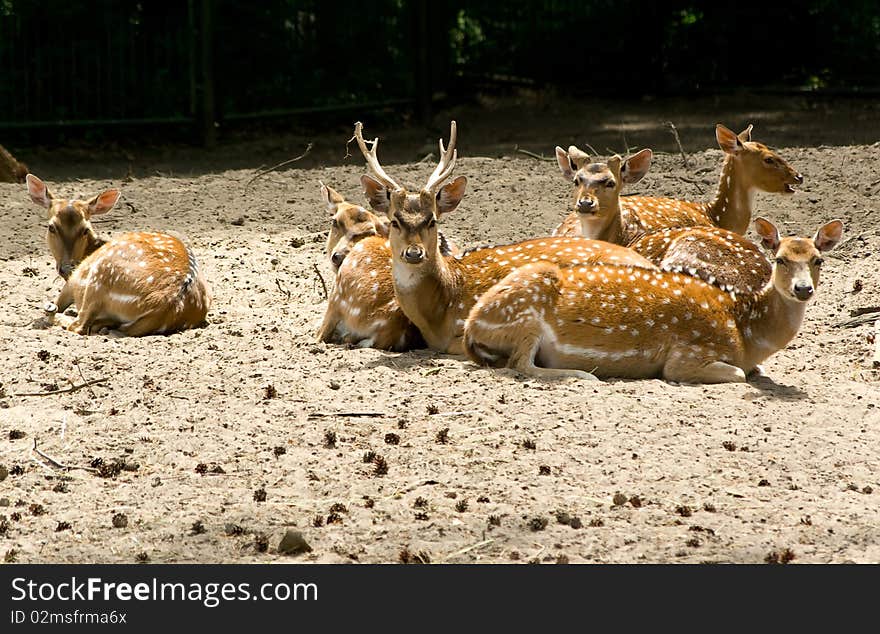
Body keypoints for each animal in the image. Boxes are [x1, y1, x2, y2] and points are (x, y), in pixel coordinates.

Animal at [26, 170, 211, 334]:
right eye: (51, 227)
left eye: (85, 229)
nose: (66, 268)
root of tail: (166, 307)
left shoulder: (72, 283)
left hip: (100, 277)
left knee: (78, 324)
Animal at [464, 217, 844, 382]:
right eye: (779, 259)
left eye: (818, 260)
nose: (803, 289)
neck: (746, 332)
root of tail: (470, 327)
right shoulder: (688, 354)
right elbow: (737, 374)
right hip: (524, 317)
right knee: (522, 364)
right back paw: (584, 374)